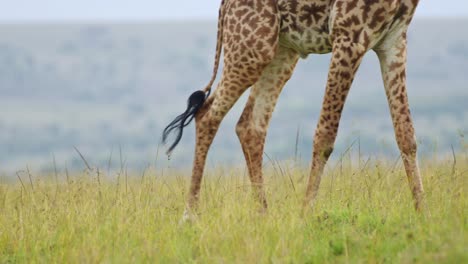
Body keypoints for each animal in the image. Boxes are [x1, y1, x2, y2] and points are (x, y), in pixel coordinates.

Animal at [164, 0, 424, 219]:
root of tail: (223, 5)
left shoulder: (394, 39)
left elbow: (406, 135)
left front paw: (423, 213)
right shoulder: (349, 33)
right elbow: (325, 136)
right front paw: (306, 213)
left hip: (280, 51)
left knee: (248, 124)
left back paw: (263, 214)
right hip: (253, 47)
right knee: (208, 114)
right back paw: (190, 215)